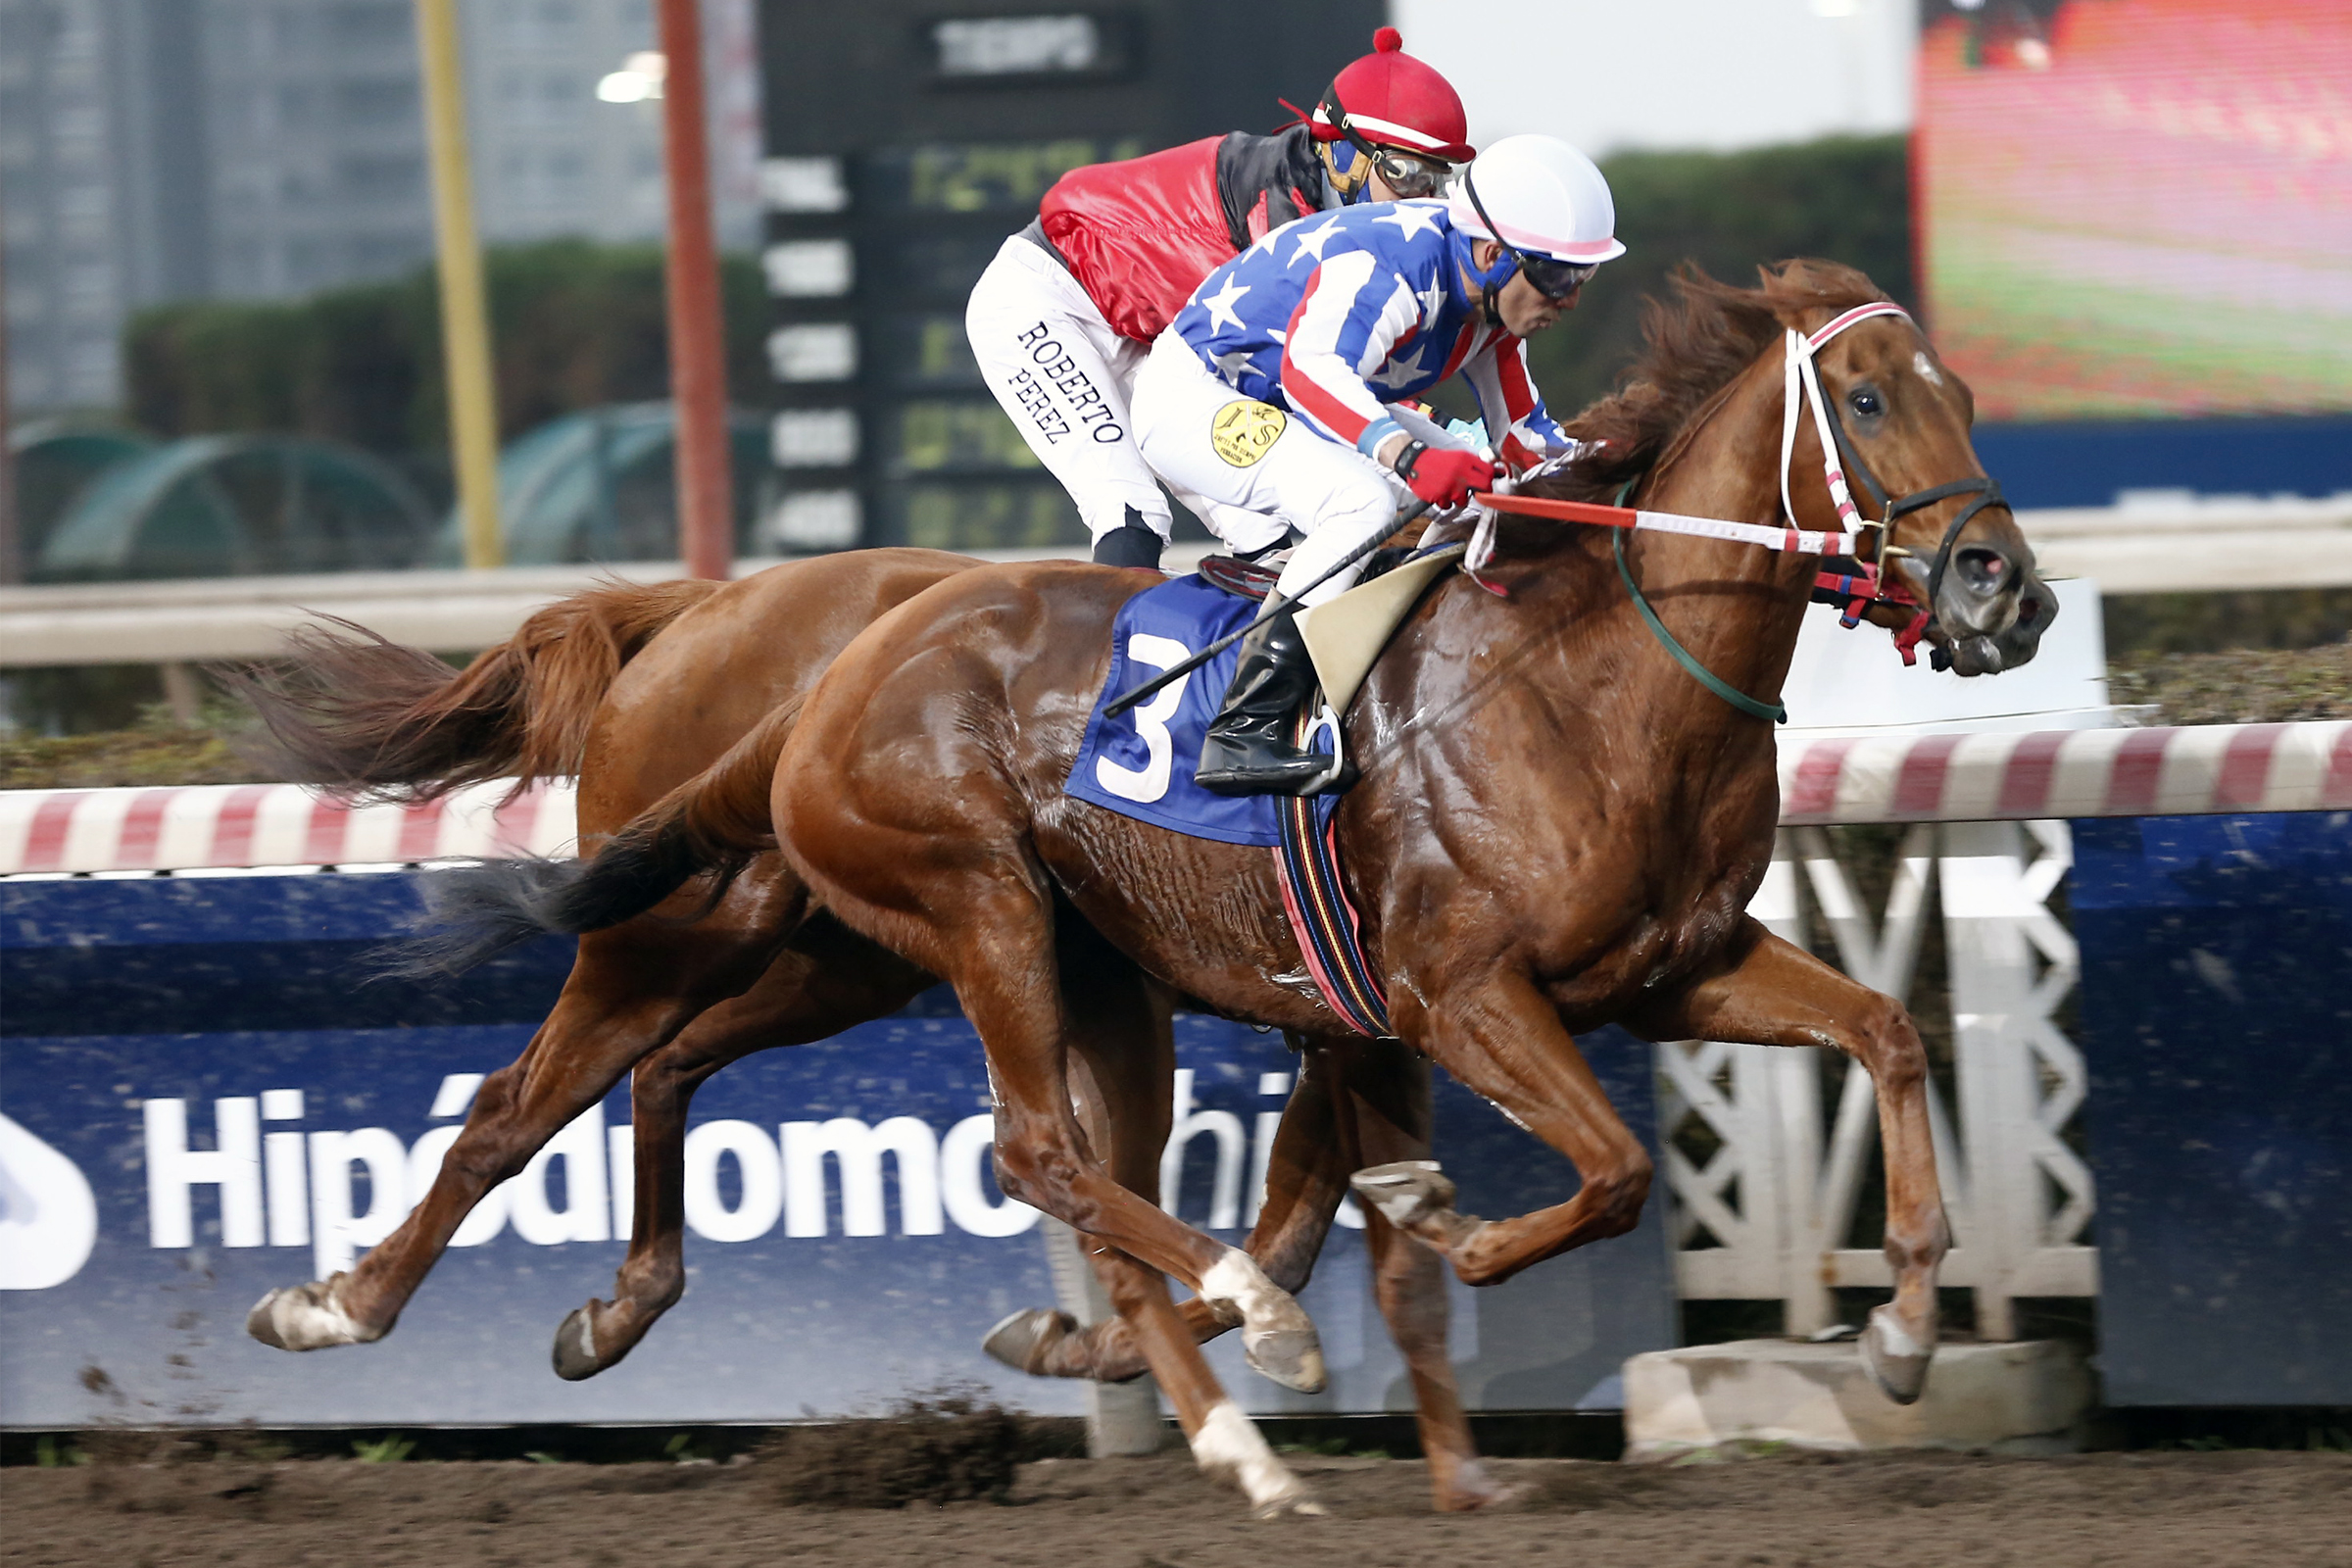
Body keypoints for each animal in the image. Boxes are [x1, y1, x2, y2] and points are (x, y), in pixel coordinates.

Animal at [232, 552, 1509, 1512]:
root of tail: (697, 608)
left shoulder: (1344, 1013)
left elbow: (1297, 1219)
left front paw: (1109, 1343)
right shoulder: (1346, 998)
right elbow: (1284, 1225)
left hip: (841, 955)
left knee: (667, 1065)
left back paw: (610, 1310)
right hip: (683, 933)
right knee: (511, 1108)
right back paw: (338, 1306)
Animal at [479, 259, 2054, 1513]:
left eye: (1967, 391)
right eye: (1865, 400)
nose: (2008, 587)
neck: (1597, 682)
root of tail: (826, 672)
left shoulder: (1671, 970)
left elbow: (1888, 1035)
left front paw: (1906, 1333)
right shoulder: (1458, 994)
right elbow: (1598, 1174)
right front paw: (1454, 1233)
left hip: (917, 954)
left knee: (739, 1081)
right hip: (971, 908)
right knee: (1031, 1152)